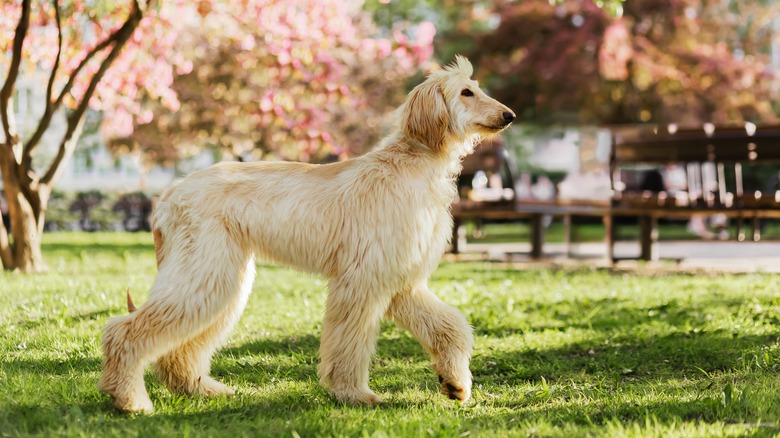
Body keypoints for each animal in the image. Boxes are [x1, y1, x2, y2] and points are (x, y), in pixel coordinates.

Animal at [99, 56, 512, 412]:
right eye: (467, 92)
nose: (509, 116)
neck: (415, 162)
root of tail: (169, 194)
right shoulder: (363, 277)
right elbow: (350, 341)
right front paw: (351, 392)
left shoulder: (399, 278)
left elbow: (451, 326)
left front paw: (455, 383)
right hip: (204, 266)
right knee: (124, 331)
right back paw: (130, 399)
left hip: (222, 273)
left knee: (179, 347)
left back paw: (200, 388)